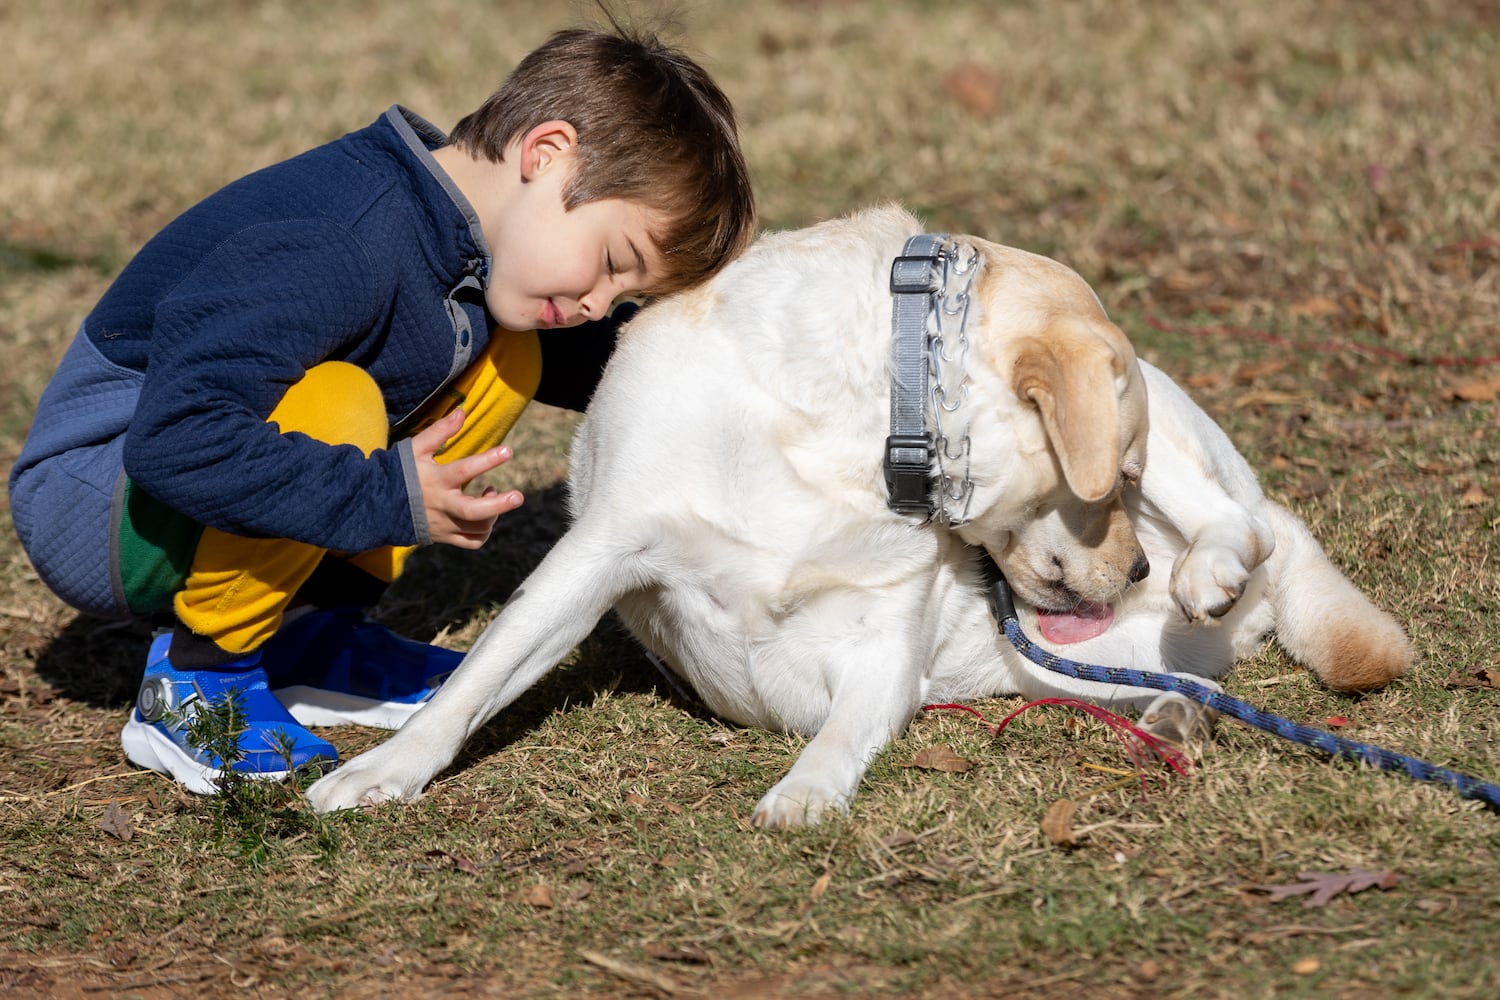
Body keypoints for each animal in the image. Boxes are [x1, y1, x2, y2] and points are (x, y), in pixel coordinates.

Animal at [307, 205, 1416, 827]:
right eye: (1113, 479)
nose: (1138, 569)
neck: (858, 425)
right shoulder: (597, 553)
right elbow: (477, 680)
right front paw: (388, 772)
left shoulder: (882, 649)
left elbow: (839, 735)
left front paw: (805, 794)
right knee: (1196, 654)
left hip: (1190, 457)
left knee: (1255, 526)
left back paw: (1210, 576)